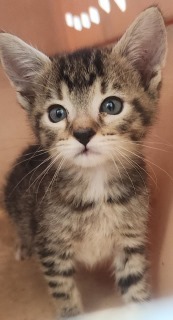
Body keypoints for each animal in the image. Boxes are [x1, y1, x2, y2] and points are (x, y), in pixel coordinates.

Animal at [0, 5, 168, 320]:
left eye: (111, 105)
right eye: (56, 113)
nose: (82, 134)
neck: (97, 189)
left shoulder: (131, 243)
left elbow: (136, 290)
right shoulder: (51, 250)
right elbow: (64, 295)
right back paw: (23, 245)